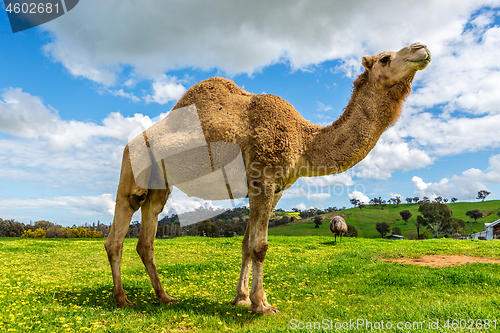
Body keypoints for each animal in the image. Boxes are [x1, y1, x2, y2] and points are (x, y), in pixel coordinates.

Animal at [104, 42, 430, 314]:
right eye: (385, 58)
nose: (421, 48)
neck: (304, 141)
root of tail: (130, 143)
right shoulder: (264, 177)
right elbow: (260, 247)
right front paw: (262, 305)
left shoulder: (275, 189)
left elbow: (247, 243)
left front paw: (241, 299)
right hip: (132, 168)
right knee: (118, 231)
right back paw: (122, 299)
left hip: (160, 184)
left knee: (147, 235)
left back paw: (164, 297)